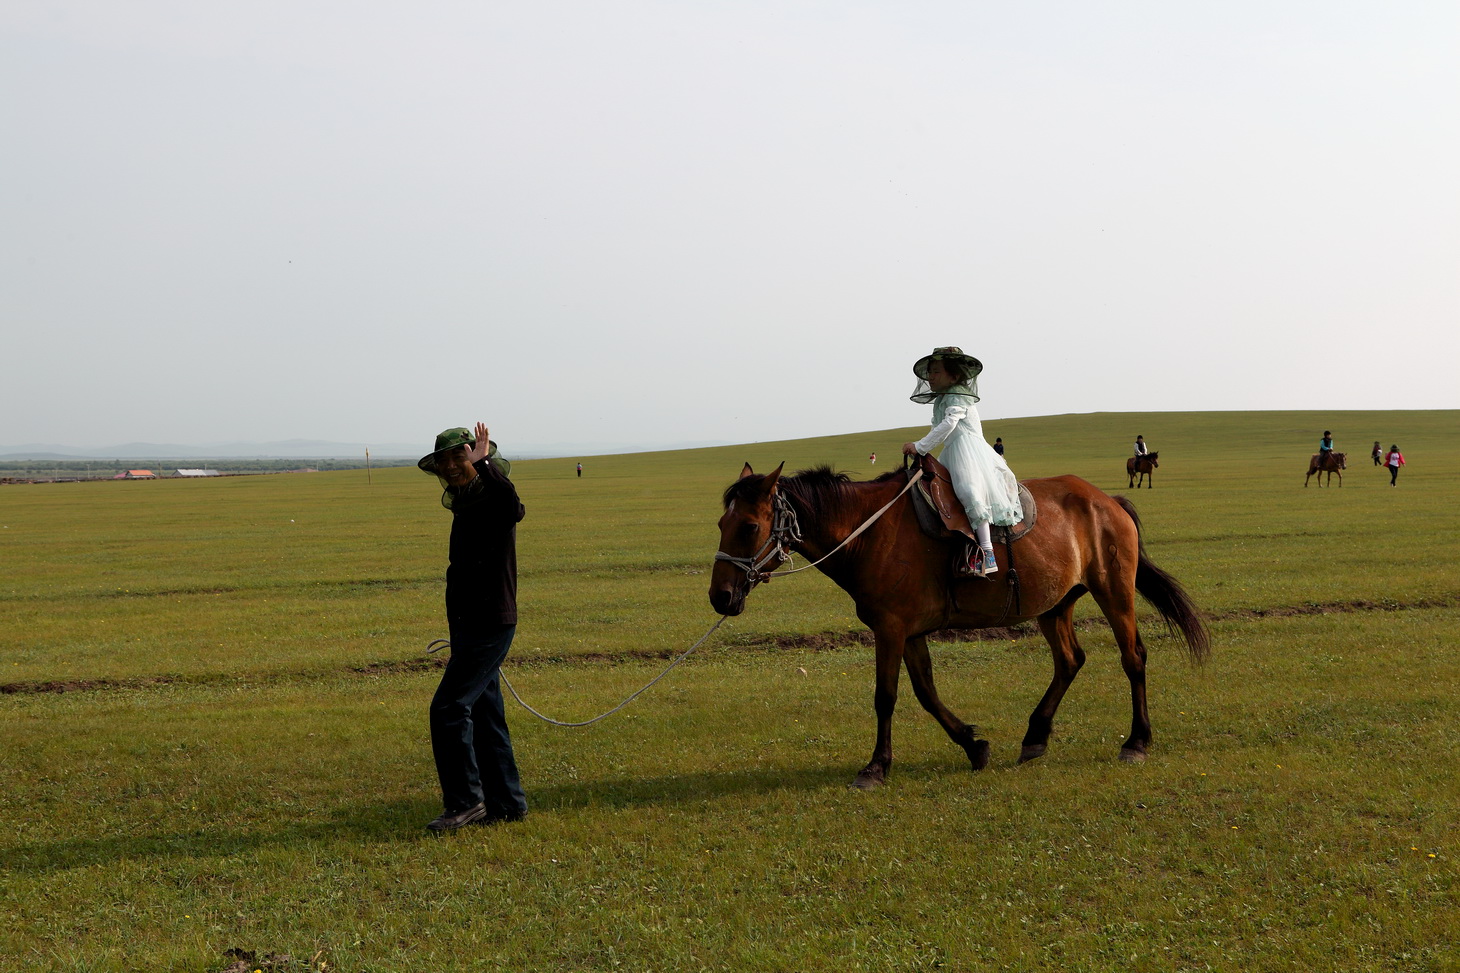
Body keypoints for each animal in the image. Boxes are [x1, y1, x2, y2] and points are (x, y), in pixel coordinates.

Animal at [709, 461, 1208, 788]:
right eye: (720, 523)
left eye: (749, 526)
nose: (720, 596)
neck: (869, 533)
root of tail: (1109, 501)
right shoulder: (909, 632)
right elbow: (926, 695)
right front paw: (973, 745)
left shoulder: (890, 629)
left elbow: (885, 698)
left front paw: (875, 767)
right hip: (1055, 603)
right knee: (1070, 660)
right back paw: (1035, 737)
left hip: (1114, 591)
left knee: (1133, 657)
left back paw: (1136, 742)